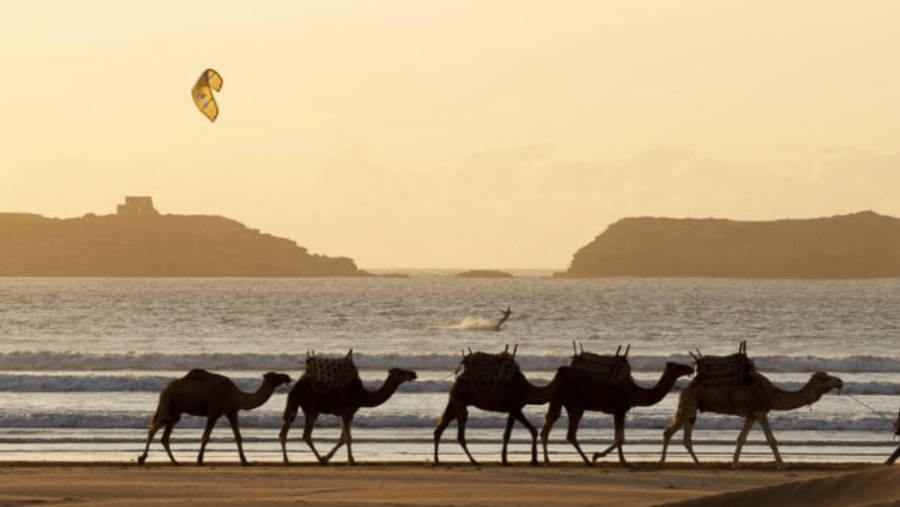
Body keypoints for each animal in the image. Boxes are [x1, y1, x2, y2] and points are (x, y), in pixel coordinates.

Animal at [137, 369, 291, 466]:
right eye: (275, 376)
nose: (288, 376)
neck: (235, 396)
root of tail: (164, 389)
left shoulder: (232, 412)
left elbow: (238, 437)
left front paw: (245, 461)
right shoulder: (214, 413)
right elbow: (205, 437)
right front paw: (199, 460)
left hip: (175, 413)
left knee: (164, 437)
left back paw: (175, 462)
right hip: (167, 405)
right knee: (153, 428)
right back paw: (142, 458)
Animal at [279, 367, 417, 465]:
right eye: (400, 372)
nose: (414, 373)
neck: (361, 396)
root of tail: (294, 388)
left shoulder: (350, 413)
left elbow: (343, 438)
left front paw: (329, 457)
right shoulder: (346, 411)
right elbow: (348, 438)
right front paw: (350, 461)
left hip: (304, 407)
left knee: (292, 431)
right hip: (310, 409)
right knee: (302, 434)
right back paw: (293, 460)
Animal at [540, 361, 693, 466]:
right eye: (678, 366)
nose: (691, 368)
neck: (634, 393)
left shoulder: (619, 412)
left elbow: (619, 438)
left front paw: (600, 456)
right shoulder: (620, 410)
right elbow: (620, 438)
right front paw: (621, 461)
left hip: (567, 403)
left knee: (557, 427)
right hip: (569, 403)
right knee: (559, 427)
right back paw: (555, 461)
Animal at [660, 370, 843, 469]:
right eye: (825, 378)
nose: (840, 381)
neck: (770, 394)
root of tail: (684, 389)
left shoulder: (751, 414)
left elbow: (741, 439)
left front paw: (736, 464)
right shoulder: (760, 411)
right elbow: (771, 440)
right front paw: (783, 465)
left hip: (689, 405)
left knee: (677, 433)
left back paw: (691, 462)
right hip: (689, 403)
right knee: (673, 432)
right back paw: (671, 462)